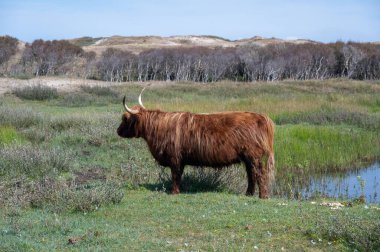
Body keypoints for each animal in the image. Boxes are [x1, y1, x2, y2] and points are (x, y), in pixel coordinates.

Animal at [117, 89, 274, 198]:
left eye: (125, 118)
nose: (118, 131)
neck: (157, 128)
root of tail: (260, 117)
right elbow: (178, 175)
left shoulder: (175, 158)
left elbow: (175, 175)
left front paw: (174, 192)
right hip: (248, 158)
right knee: (251, 174)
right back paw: (248, 194)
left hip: (253, 156)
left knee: (260, 173)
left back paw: (263, 196)